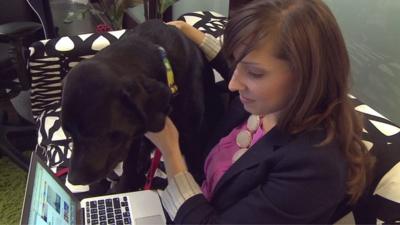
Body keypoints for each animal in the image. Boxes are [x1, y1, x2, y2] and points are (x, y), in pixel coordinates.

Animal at [61, 20, 223, 193]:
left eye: (98, 135)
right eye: (68, 133)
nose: (73, 180)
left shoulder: (191, 134)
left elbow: (194, 165)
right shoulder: (132, 135)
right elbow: (129, 166)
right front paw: (125, 186)